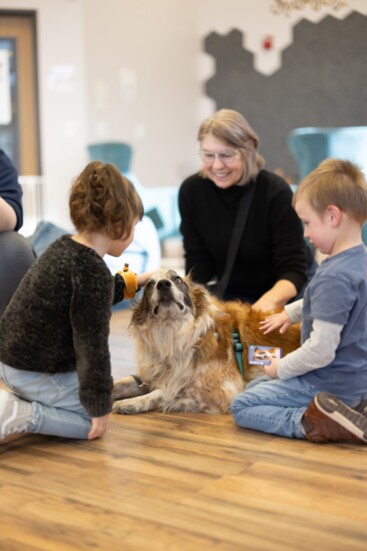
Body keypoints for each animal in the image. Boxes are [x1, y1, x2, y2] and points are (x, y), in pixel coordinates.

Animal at [113, 270, 302, 416]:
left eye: (177, 279)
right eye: (150, 285)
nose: (163, 284)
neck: (173, 333)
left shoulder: (225, 390)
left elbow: (167, 391)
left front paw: (132, 402)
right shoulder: (153, 373)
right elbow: (123, 382)